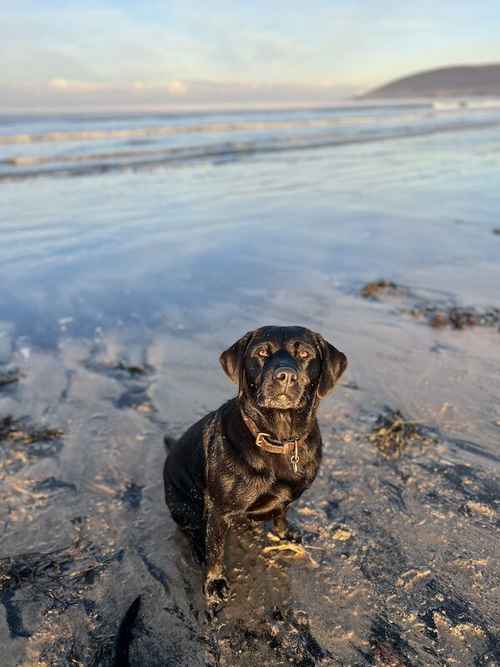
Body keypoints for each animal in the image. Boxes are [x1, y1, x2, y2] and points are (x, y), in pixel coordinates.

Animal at [164, 326, 348, 608]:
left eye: (305, 353)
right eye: (262, 352)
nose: (285, 375)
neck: (278, 439)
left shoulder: (285, 498)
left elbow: (282, 512)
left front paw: (285, 533)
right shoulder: (219, 511)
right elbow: (216, 549)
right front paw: (215, 582)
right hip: (186, 506)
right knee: (195, 533)